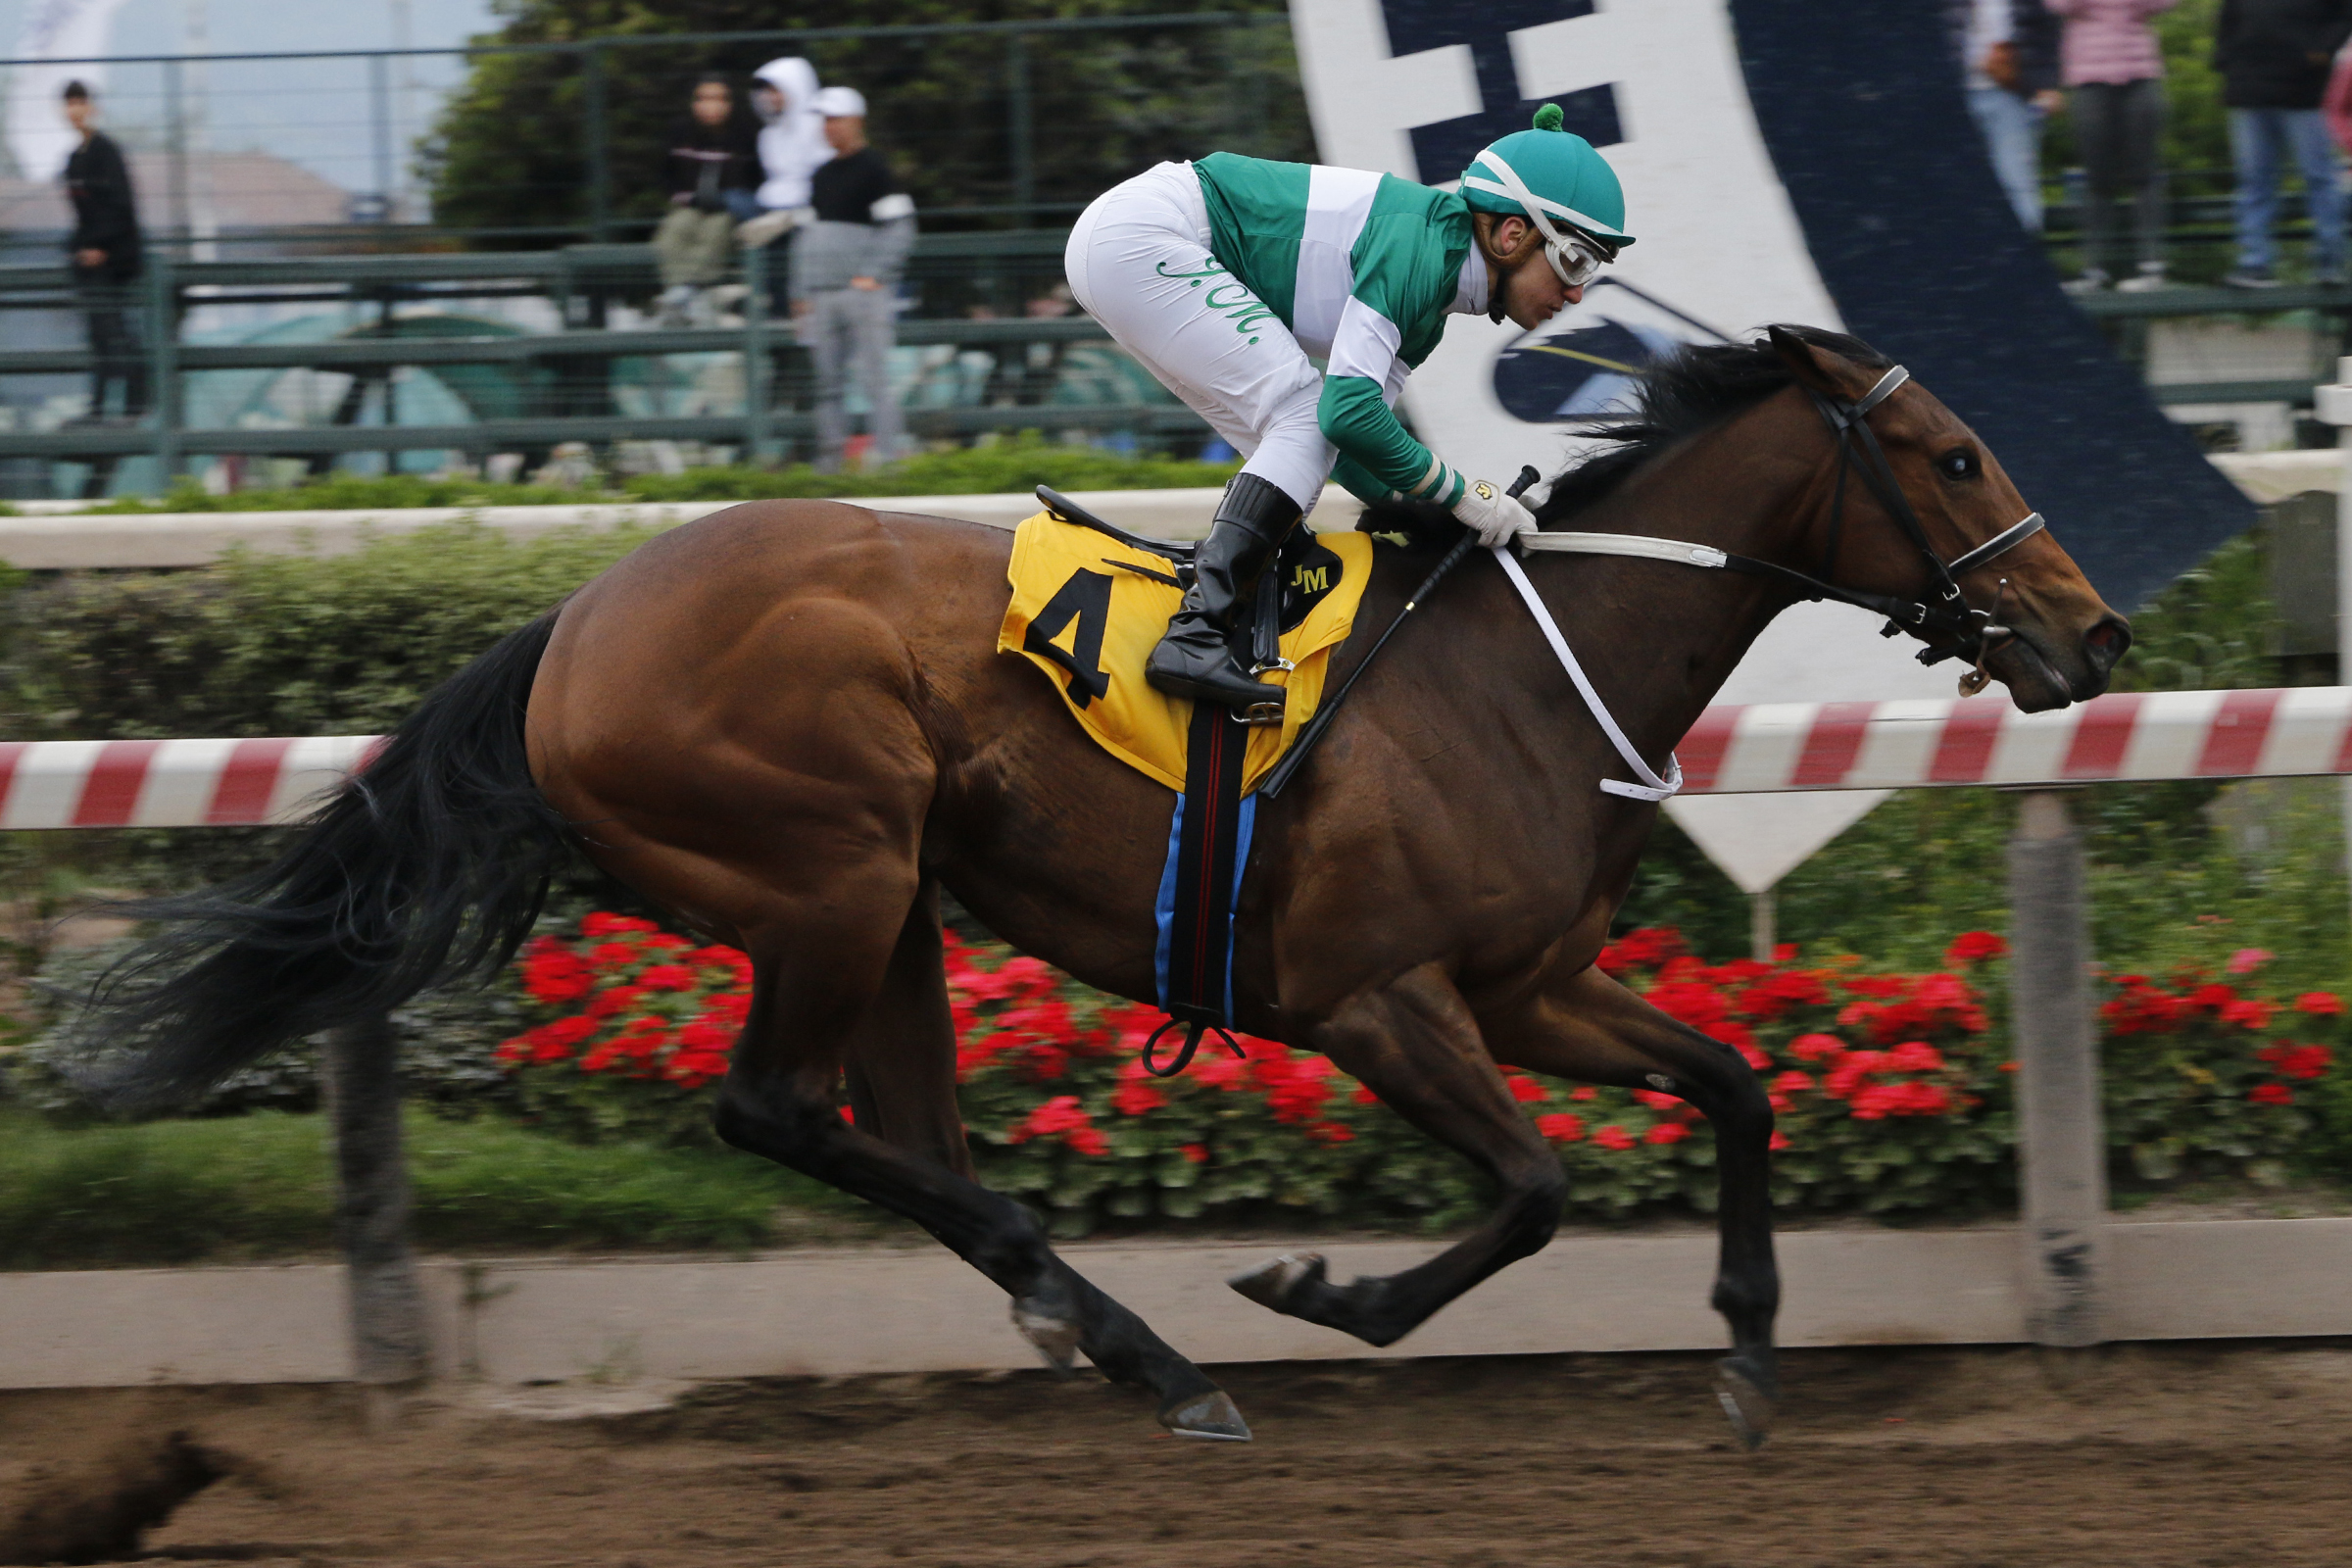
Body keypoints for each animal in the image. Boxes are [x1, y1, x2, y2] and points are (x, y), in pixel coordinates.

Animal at [85, 326, 2128, 1449]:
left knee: (896, 1132)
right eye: (1954, 454)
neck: (1529, 671)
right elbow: (1540, 1193)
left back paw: (1095, 1329)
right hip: (826, 871)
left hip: (896, 901)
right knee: (779, 1112)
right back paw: (1150, 1347)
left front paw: (1755, 1359)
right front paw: (1322, 1290)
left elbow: (1739, 1085)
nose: (2096, 634)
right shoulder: (1381, 1004)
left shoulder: (1533, 988)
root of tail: (575, 622)